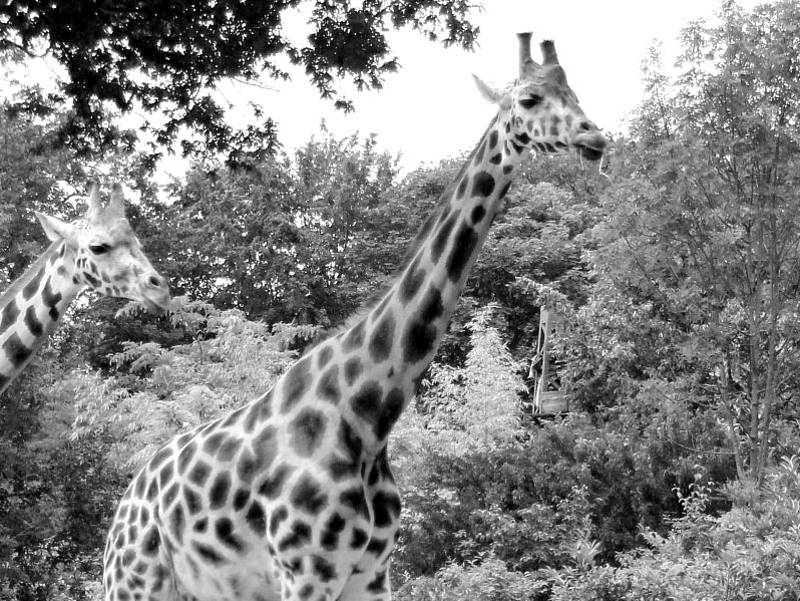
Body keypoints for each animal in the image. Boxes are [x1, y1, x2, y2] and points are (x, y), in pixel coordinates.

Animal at [103, 33, 606, 601]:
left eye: (574, 91)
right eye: (529, 99)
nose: (596, 137)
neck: (369, 417)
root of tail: (123, 509)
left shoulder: (371, 572)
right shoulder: (305, 571)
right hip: (135, 581)